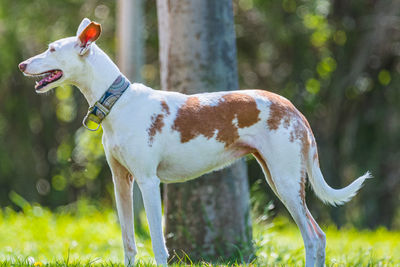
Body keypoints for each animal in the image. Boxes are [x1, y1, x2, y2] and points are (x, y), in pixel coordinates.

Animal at [18, 18, 368, 266]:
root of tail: (294, 109)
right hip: (278, 178)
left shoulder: (148, 182)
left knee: (312, 238)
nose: (22, 64)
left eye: (51, 49)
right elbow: (129, 244)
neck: (117, 103)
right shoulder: (121, 182)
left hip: (285, 182)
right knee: (319, 237)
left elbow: (158, 246)